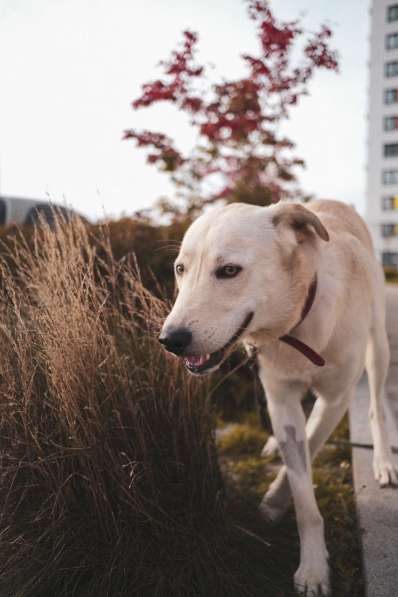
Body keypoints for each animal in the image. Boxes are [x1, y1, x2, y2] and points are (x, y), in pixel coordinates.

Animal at [159, 199, 398, 592]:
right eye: (181, 269)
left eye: (228, 270)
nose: (170, 340)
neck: (295, 325)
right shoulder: (281, 399)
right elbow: (304, 497)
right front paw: (310, 561)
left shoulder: (336, 399)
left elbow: (312, 442)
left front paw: (278, 503)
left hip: (378, 347)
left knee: (377, 407)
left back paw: (383, 461)